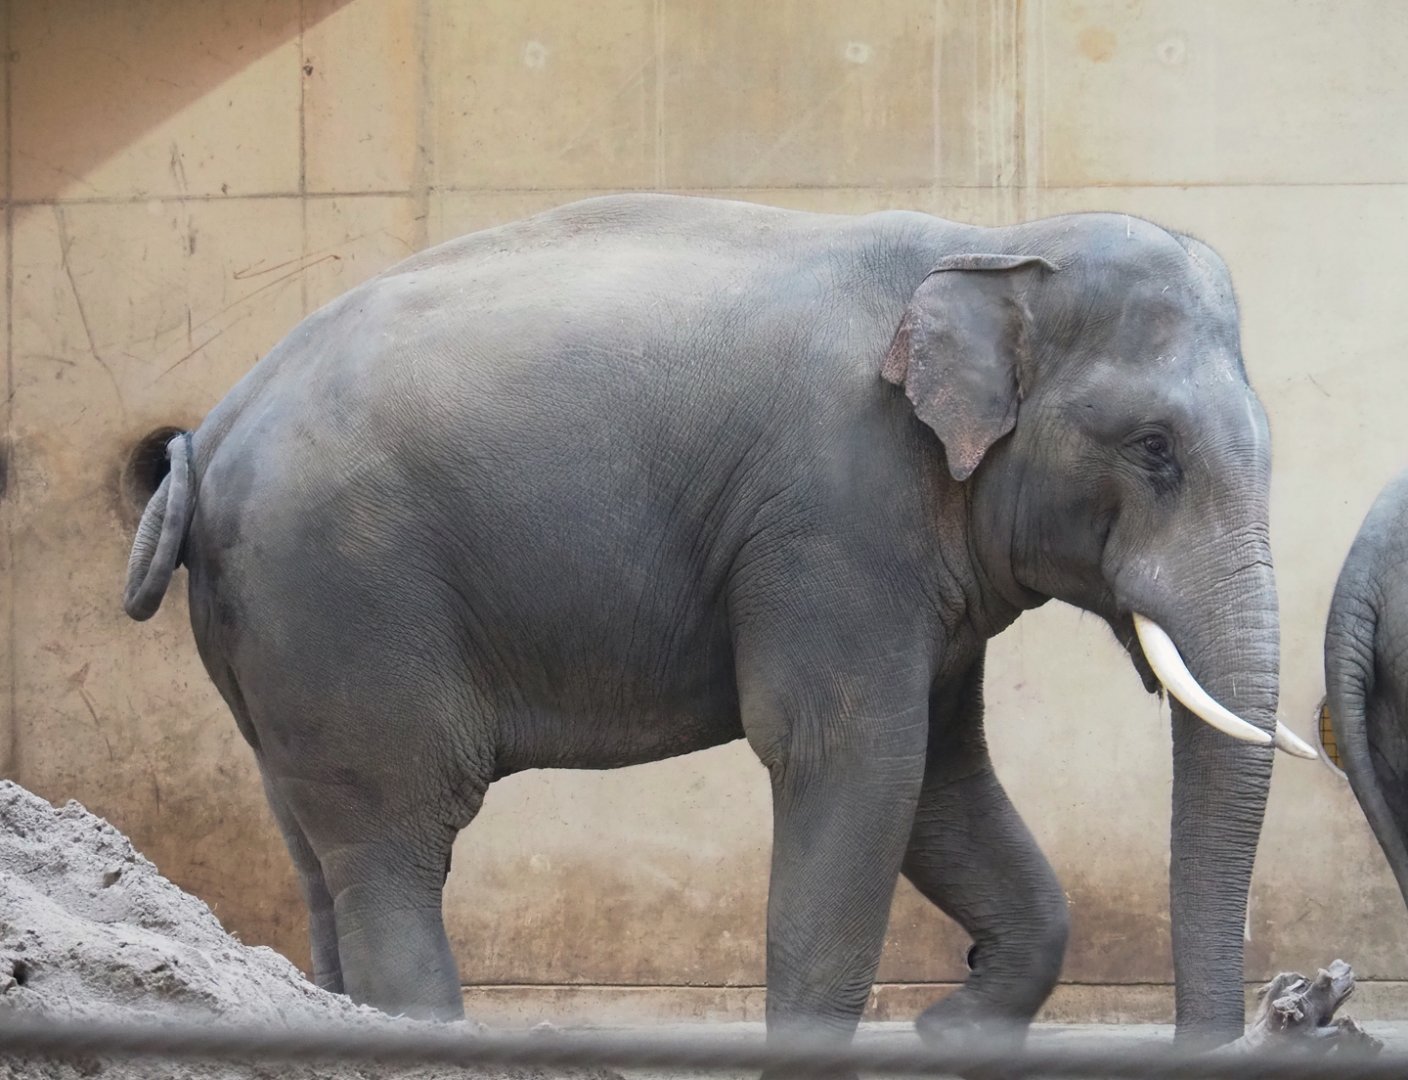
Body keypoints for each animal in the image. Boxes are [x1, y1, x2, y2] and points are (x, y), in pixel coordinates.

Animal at [122, 193, 1316, 1049]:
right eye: (1154, 450)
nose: (1256, 1021)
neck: (991, 242)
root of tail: (209, 435)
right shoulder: (833, 518)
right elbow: (854, 758)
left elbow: (941, 776)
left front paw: (950, 1028)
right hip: (344, 598)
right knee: (393, 843)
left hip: (277, 637)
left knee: (313, 843)